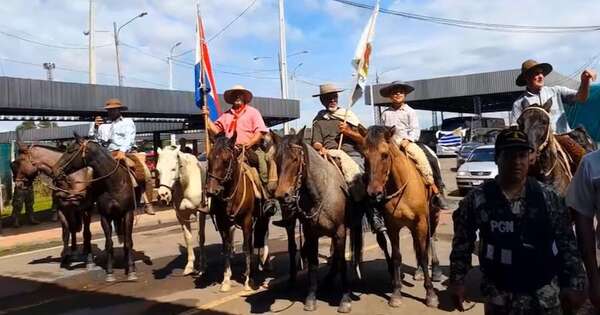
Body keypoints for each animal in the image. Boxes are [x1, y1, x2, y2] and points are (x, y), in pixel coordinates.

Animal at [53, 137, 141, 282]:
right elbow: (109, 244)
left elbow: (128, 242)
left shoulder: (128, 213)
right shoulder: (105, 217)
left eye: (71, 150)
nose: (55, 169)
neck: (114, 183)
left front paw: (132, 272)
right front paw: (110, 273)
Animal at [155, 146, 209, 276]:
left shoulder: (201, 213)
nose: (163, 195)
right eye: (158, 170)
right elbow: (188, 238)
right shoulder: (181, 215)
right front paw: (189, 266)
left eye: (173, 168)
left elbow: (201, 237)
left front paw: (202, 266)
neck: (188, 183)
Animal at [206, 133, 272, 294]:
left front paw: (248, 280)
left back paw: (265, 263)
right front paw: (226, 281)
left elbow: (247, 248)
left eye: (226, 160)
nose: (211, 191)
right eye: (209, 158)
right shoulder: (223, 223)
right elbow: (227, 248)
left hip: (263, 216)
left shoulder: (247, 221)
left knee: (263, 235)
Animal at [272, 128, 360, 314]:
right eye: (276, 159)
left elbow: (342, 262)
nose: (282, 196)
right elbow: (313, 264)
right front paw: (311, 298)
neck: (320, 192)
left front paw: (345, 299)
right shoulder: (310, 233)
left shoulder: (340, 231)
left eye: (295, 159)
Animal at [358, 126, 438, 308]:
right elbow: (396, 257)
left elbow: (424, 255)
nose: (374, 193)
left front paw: (430, 294)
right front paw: (396, 293)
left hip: (431, 216)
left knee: (430, 240)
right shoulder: (393, 226)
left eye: (385, 154)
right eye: (364, 156)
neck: (402, 188)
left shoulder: (421, 222)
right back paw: (418, 272)